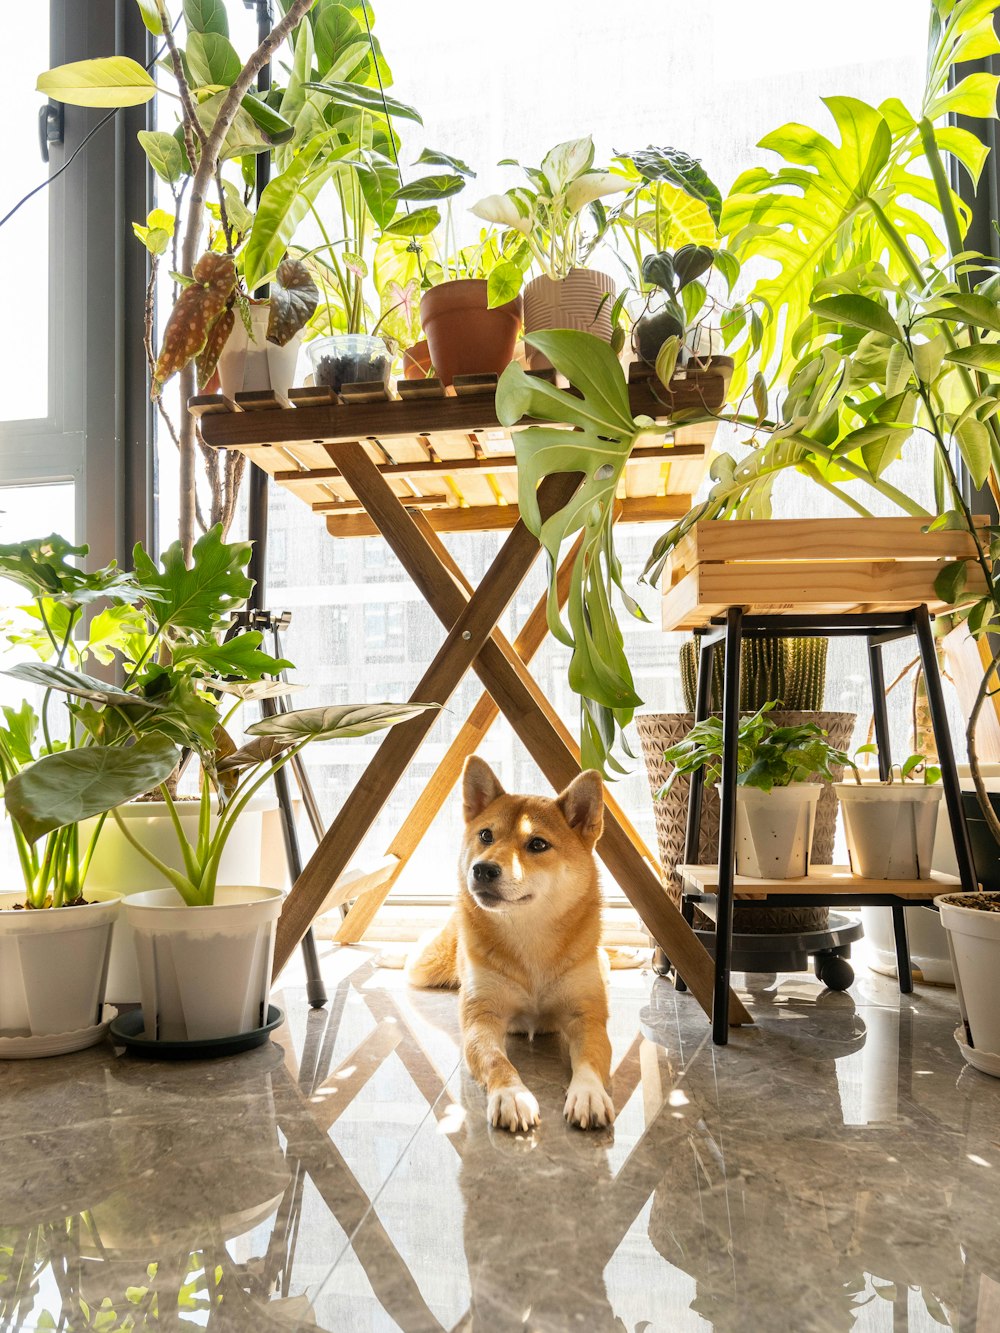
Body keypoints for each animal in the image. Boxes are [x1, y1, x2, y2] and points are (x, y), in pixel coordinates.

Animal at [408, 757, 618, 1130]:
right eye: (486, 835)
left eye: (537, 844)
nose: (482, 869)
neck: (529, 937)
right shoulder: (482, 1019)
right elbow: (496, 1061)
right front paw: (512, 1094)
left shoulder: (587, 1017)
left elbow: (591, 1059)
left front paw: (589, 1092)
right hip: (427, 965)